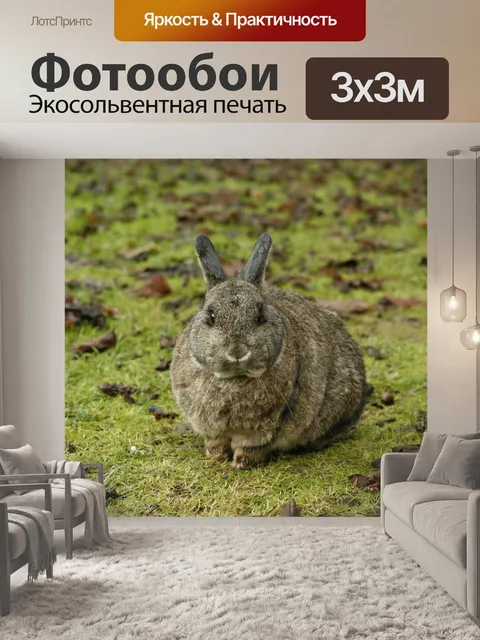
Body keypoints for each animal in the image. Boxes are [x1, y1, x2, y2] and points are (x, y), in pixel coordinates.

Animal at [170, 233, 367, 469]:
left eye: (260, 316)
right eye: (211, 316)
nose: (237, 351)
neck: (234, 378)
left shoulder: (267, 426)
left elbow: (253, 445)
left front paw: (242, 462)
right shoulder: (210, 427)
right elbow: (216, 442)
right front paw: (215, 456)